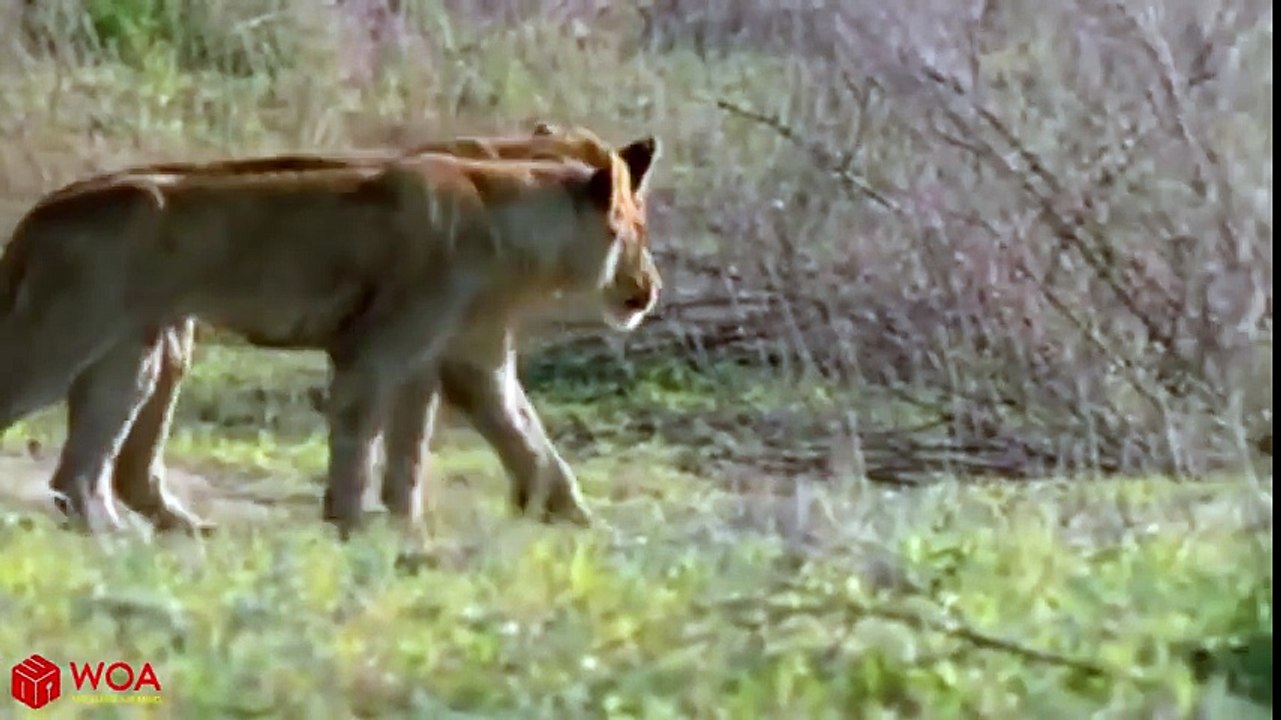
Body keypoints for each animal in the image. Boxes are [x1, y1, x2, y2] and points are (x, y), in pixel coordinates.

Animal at [0, 123, 656, 536]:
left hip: (131, 352)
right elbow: (365, 442)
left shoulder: (464, 357)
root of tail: (46, 208)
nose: (652, 287)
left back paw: (123, 538)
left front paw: (569, 516)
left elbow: (508, 435)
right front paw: (354, 525)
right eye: (638, 228)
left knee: (82, 472)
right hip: (61, 341)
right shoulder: (376, 353)